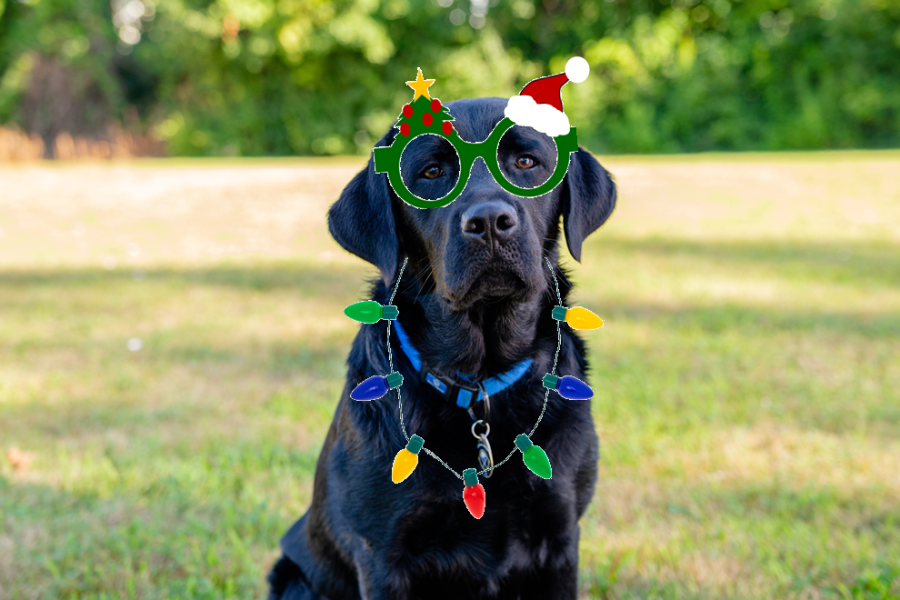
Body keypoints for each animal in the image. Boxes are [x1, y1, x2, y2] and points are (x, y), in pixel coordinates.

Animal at [268, 96, 616, 596]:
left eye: (526, 162)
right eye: (431, 172)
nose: (489, 222)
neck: (481, 382)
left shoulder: (559, 537)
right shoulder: (382, 556)